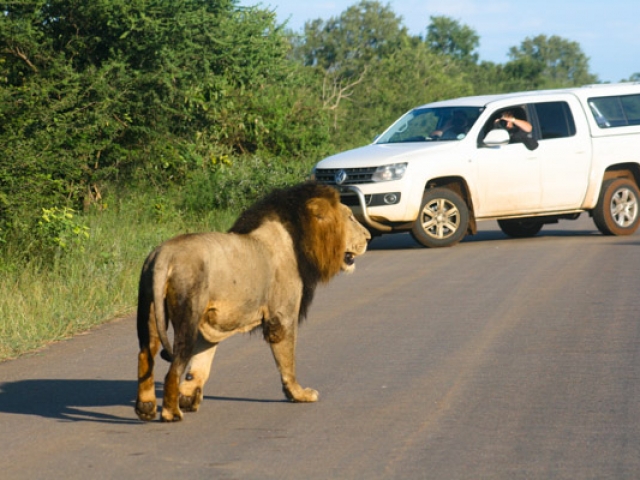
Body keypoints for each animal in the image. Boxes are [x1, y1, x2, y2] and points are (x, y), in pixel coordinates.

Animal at [134, 182, 370, 422]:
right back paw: (171, 413)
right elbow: (288, 360)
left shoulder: (210, 325)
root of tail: (164, 255)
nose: (369, 237)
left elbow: (201, 364)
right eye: (350, 217)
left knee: (145, 355)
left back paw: (146, 407)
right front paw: (298, 394)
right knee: (173, 368)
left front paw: (189, 397)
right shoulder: (281, 316)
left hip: (149, 310)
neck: (297, 236)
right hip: (187, 318)